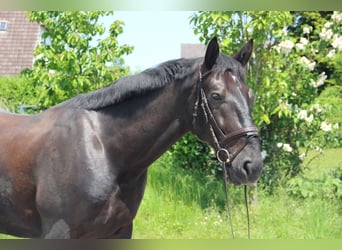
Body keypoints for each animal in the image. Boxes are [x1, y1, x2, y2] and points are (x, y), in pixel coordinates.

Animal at [0, 37, 262, 238]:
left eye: (251, 95)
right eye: (216, 96)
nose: (252, 165)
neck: (105, 150)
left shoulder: (120, 230)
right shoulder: (59, 232)